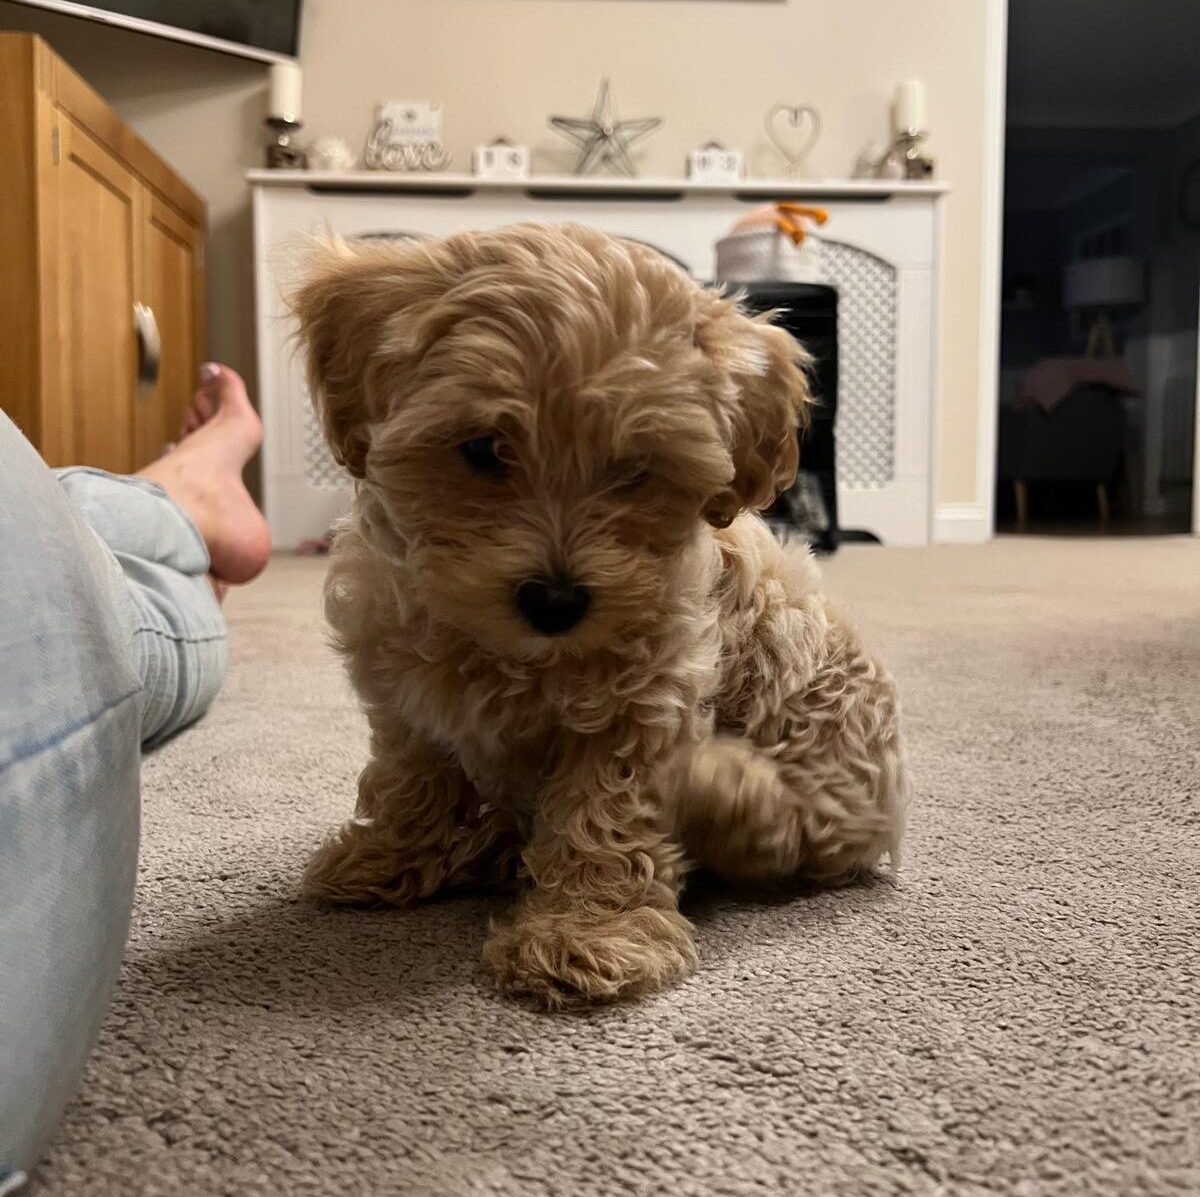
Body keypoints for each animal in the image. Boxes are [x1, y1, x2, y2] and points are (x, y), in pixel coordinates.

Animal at [292, 220, 907, 1007]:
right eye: (482, 449)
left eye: (636, 469)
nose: (555, 600)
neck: (510, 652)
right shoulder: (402, 681)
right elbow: (413, 772)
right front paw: (390, 854)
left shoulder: (645, 698)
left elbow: (605, 812)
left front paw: (586, 933)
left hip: (823, 766)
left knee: (781, 832)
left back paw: (723, 787)